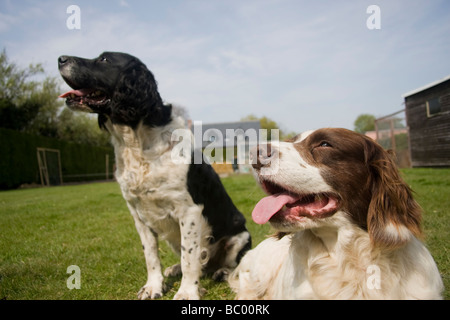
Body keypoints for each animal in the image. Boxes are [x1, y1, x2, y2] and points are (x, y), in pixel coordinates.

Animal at [58, 52, 251, 300]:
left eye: (104, 60)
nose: (61, 59)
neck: (138, 144)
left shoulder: (189, 211)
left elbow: (190, 257)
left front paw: (187, 292)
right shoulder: (138, 214)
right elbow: (151, 254)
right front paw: (153, 286)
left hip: (239, 237)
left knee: (229, 263)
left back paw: (222, 272)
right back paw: (176, 269)